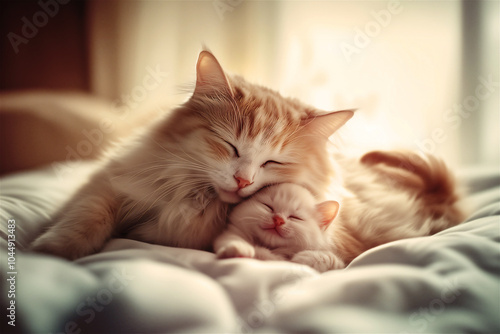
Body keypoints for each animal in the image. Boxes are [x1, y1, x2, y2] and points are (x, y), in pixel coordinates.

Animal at [31, 50, 354, 260]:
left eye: (273, 162)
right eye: (230, 146)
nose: (243, 181)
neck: (195, 198)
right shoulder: (111, 182)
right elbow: (88, 216)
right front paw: (53, 250)